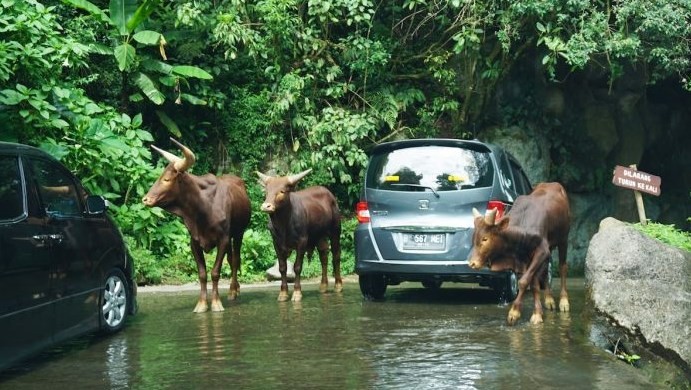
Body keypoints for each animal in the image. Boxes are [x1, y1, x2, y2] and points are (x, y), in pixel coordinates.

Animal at [141, 139, 251, 312]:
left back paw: (233, 290)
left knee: (235, 259)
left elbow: (215, 272)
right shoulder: (194, 242)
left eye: (166, 179)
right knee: (231, 258)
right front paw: (202, 304)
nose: (145, 199)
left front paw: (216, 302)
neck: (203, 208)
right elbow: (202, 274)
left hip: (239, 233)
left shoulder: (223, 239)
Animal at [256, 168, 344, 302]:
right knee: (324, 255)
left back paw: (338, 285)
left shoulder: (302, 242)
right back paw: (323, 285)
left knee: (336, 255)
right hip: (319, 236)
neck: (284, 225)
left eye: (282, 191)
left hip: (335, 231)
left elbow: (297, 267)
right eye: (267, 191)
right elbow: (282, 268)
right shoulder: (276, 243)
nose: (266, 206)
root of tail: (329, 194)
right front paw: (283, 293)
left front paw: (297, 292)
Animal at [468, 183, 572, 326]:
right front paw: (537, 313)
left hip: (563, 239)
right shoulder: (529, 256)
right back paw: (549, 300)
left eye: (485, 238)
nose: (472, 263)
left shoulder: (542, 250)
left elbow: (524, 281)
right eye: (474, 238)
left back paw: (564, 301)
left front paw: (514, 313)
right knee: (545, 271)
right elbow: (534, 284)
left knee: (563, 267)